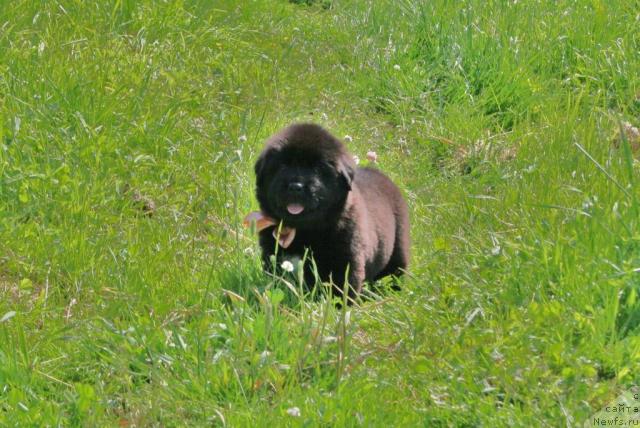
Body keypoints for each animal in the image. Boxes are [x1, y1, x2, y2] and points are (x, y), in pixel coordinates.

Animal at [251, 122, 410, 300]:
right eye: (283, 165)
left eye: (317, 169)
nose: (296, 186)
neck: (303, 230)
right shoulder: (272, 255)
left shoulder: (346, 262)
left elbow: (341, 291)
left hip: (398, 252)